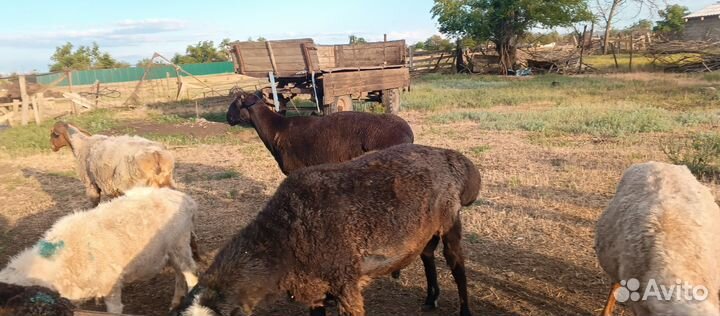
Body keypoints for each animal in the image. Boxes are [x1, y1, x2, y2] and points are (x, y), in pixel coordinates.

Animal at [0, 186, 200, 312]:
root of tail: (186, 199)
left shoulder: (111, 287)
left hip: (180, 246)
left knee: (191, 276)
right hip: (173, 251)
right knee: (179, 274)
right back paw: (176, 302)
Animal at [172, 144, 480, 316]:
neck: (285, 239)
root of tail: (449, 156)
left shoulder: (345, 283)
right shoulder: (315, 290)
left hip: (450, 221)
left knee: (457, 265)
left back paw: (464, 309)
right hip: (425, 231)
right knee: (427, 256)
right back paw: (430, 299)